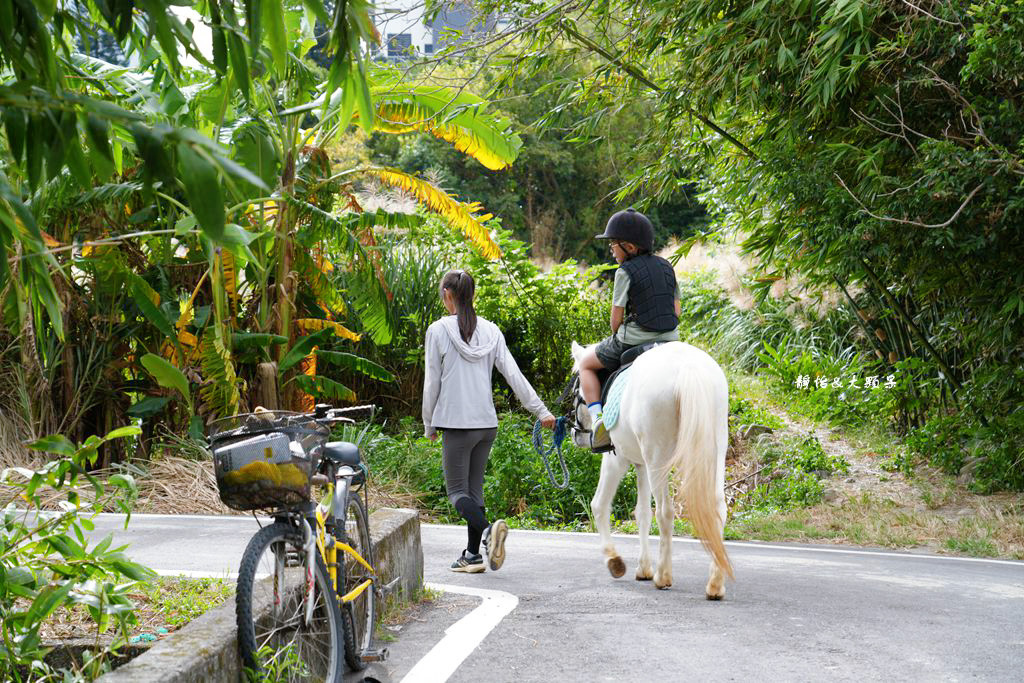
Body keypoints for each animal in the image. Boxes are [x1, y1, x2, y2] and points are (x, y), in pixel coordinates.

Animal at [573, 342, 733, 598]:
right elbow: (642, 514)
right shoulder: (641, 464)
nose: (576, 435)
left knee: (666, 511)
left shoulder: (617, 458)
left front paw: (613, 559)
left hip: (657, 455)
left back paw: (663, 576)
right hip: (714, 451)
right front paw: (643, 568)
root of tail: (687, 365)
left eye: (577, 389)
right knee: (718, 508)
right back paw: (715, 584)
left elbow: (599, 505)